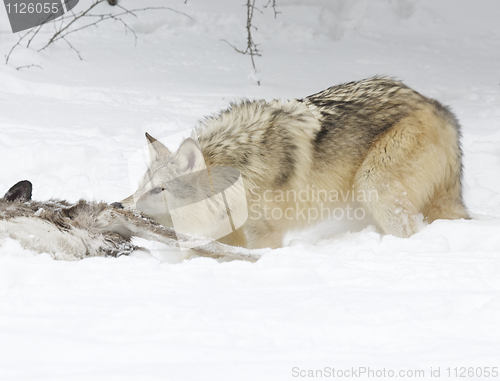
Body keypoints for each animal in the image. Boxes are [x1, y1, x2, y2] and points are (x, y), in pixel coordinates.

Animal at [113, 77, 468, 249]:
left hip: (374, 186)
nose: (117, 205)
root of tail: (437, 107)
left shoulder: (265, 235)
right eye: (141, 186)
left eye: (159, 190)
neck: (241, 173)